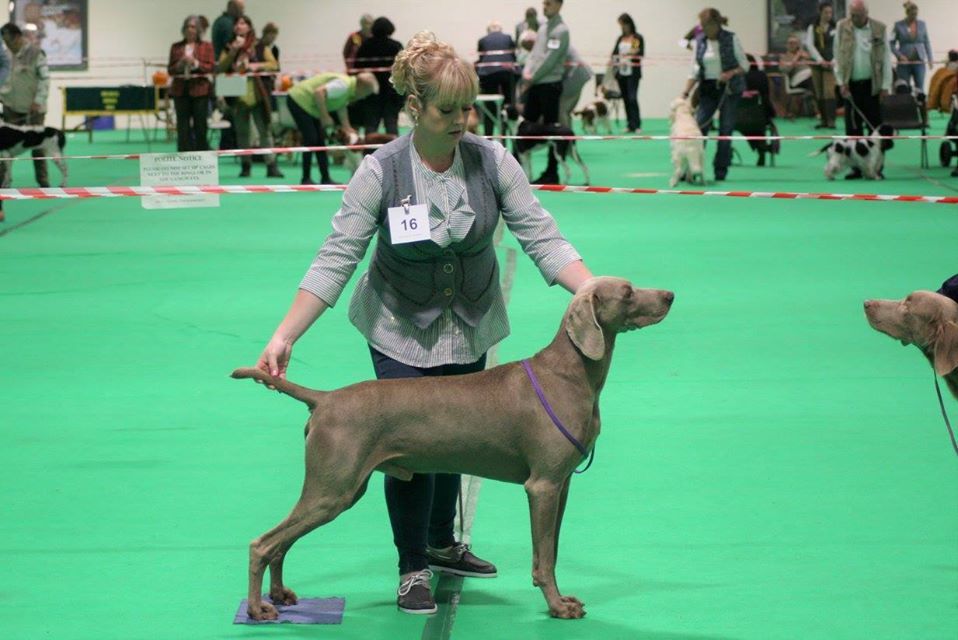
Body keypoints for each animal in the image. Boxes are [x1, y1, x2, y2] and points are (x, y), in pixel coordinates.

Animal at [232, 277, 674, 620]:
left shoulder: (562, 486)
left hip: (340, 489)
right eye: (628, 292)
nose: (670, 294)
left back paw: (281, 595)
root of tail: (324, 399)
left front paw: (562, 599)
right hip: (332, 489)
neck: (570, 374)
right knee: (263, 543)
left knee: (281, 543)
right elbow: (544, 557)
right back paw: (257, 609)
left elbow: (552, 549)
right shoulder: (543, 486)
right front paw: (557, 607)